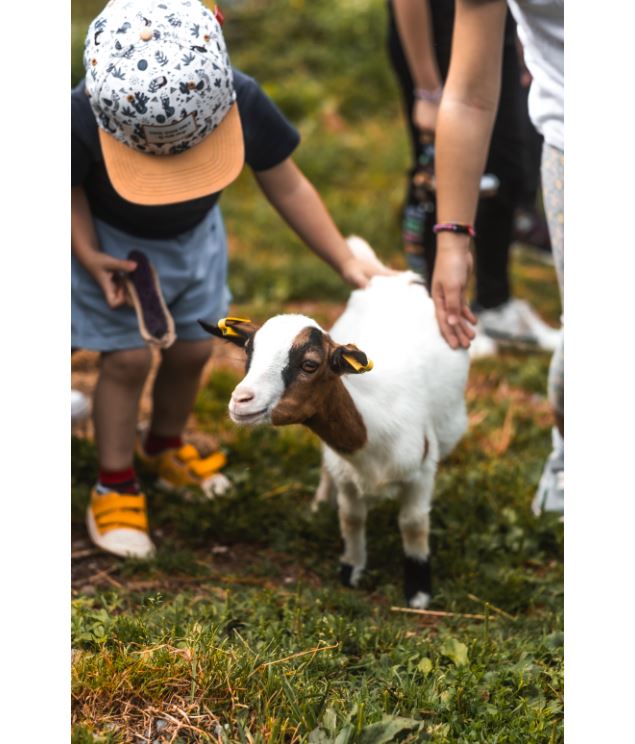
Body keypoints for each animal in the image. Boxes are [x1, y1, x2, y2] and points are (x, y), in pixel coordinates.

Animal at [201, 241, 470, 608]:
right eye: (247, 353)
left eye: (310, 364)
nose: (241, 400)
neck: (373, 436)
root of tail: (393, 277)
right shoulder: (346, 475)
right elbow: (351, 518)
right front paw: (351, 569)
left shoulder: (422, 471)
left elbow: (413, 524)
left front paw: (418, 592)